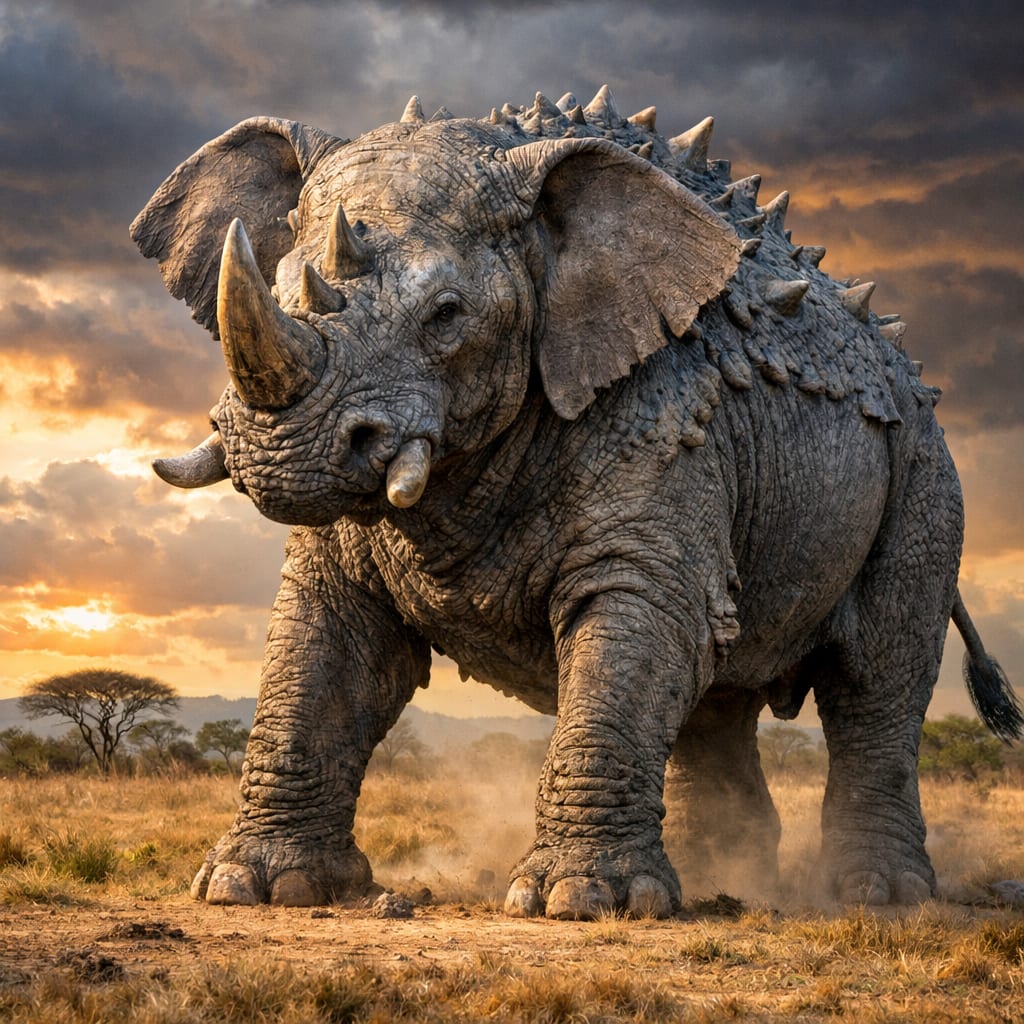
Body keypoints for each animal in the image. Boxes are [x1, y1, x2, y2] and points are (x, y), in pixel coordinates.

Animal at [132, 86, 1021, 919]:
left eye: (446, 316)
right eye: (274, 286)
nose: (276, 455)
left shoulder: (668, 410)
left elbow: (637, 623)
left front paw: (583, 902)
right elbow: (323, 653)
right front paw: (254, 887)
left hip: (923, 467)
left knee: (874, 674)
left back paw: (877, 897)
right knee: (717, 696)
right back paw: (722, 877)